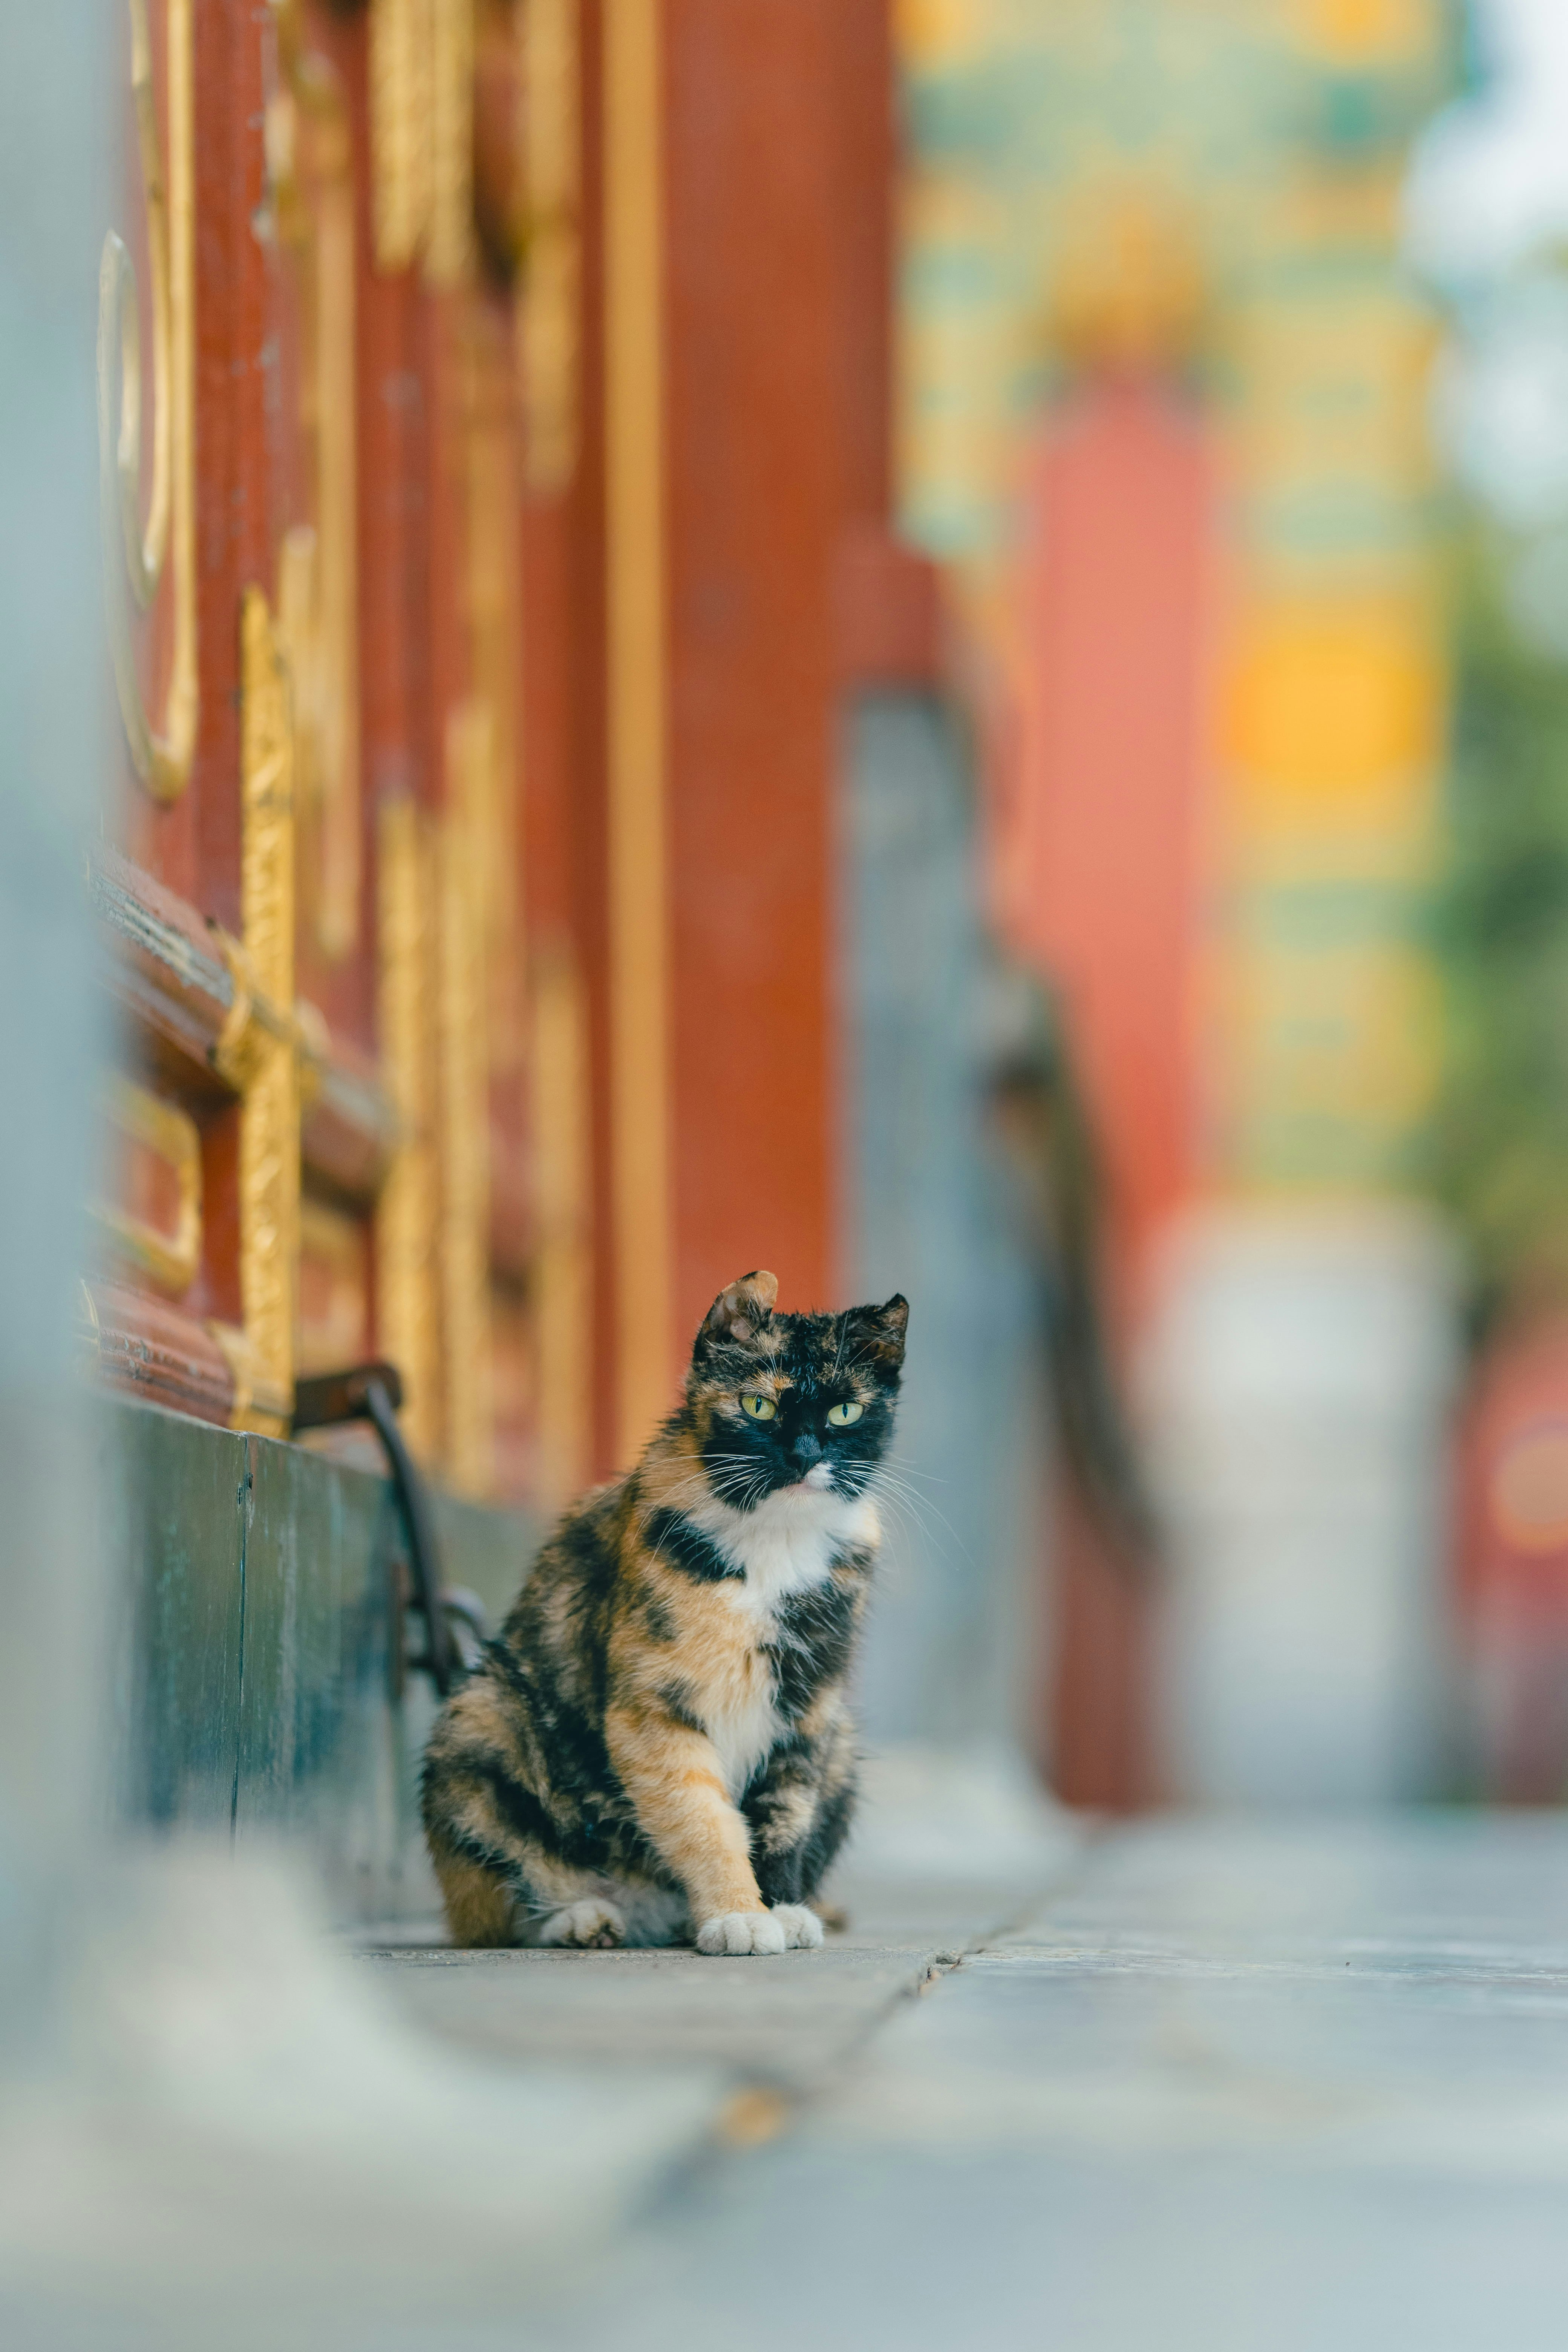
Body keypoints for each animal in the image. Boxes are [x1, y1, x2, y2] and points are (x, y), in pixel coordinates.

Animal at [421, 1279, 907, 1957]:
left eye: (845, 1413)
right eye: (758, 1406)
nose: (805, 1456)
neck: (775, 1542)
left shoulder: (809, 1710)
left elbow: (786, 1813)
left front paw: (782, 1909)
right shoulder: (656, 1709)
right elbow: (704, 1819)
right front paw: (738, 1914)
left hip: (843, 1745)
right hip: (480, 1713)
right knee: (500, 1905)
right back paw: (582, 1919)